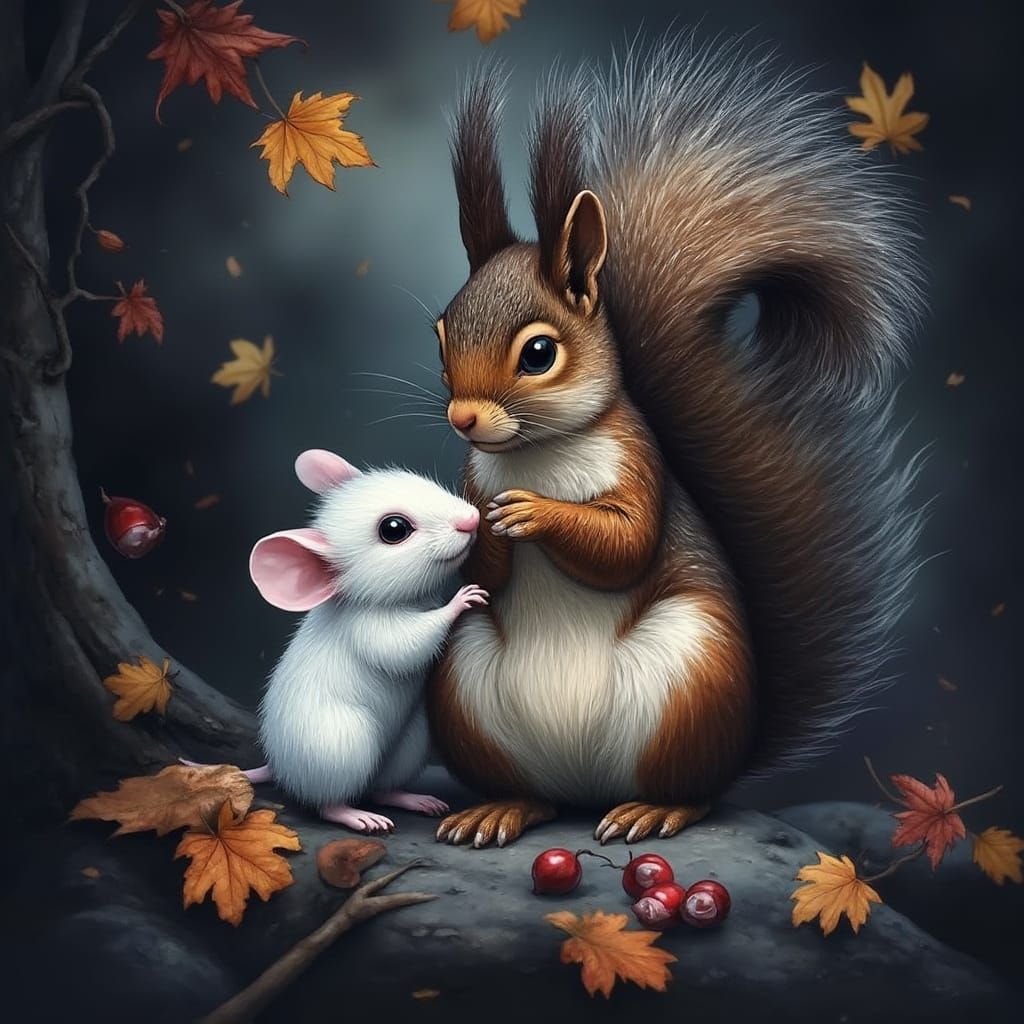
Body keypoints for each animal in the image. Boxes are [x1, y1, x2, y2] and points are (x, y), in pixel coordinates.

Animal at [426, 35, 924, 848]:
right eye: (440, 336)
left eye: (539, 353)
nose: (464, 420)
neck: (537, 452)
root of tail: (586, 789)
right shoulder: (477, 477)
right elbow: (485, 569)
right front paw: (486, 528)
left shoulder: (640, 464)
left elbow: (625, 546)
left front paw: (533, 513)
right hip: (463, 685)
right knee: (535, 792)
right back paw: (502, 807)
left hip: (693, 674)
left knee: (695, 792)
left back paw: (654, 810)